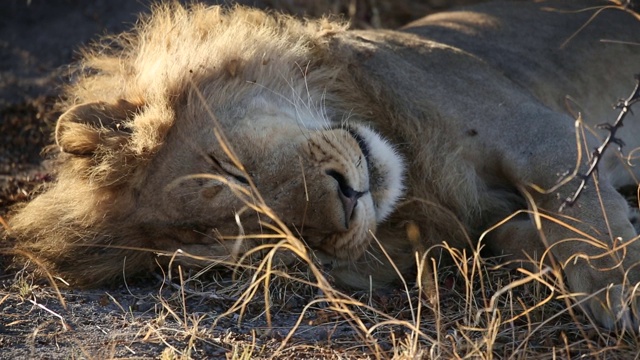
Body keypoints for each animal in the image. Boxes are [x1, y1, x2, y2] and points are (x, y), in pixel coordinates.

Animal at [6, 0, 640, 332]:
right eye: (276, 241)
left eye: (229, 168)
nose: (346, 201)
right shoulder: (478, 226)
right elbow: (520, 239)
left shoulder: (550, 139)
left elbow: (587, 215)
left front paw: (622, 291)